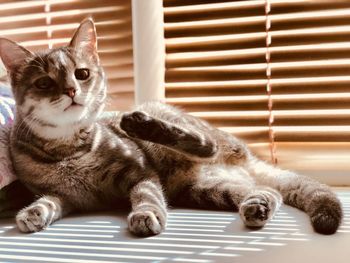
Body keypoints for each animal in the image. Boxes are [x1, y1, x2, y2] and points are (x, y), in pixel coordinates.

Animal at [0, 19, 342, 237]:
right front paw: (34, 213)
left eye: (82, 74)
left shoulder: (140, 173)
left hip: (173, 132)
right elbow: (49, 200)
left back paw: (142, 124)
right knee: (270, 190)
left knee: (207, 145)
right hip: (202, 190)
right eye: (44, 83)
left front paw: (145, 215)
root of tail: (247, 160)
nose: (71, 90)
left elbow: (148, 197)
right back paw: (258, 205)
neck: (68, 149)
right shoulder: (64, 195)